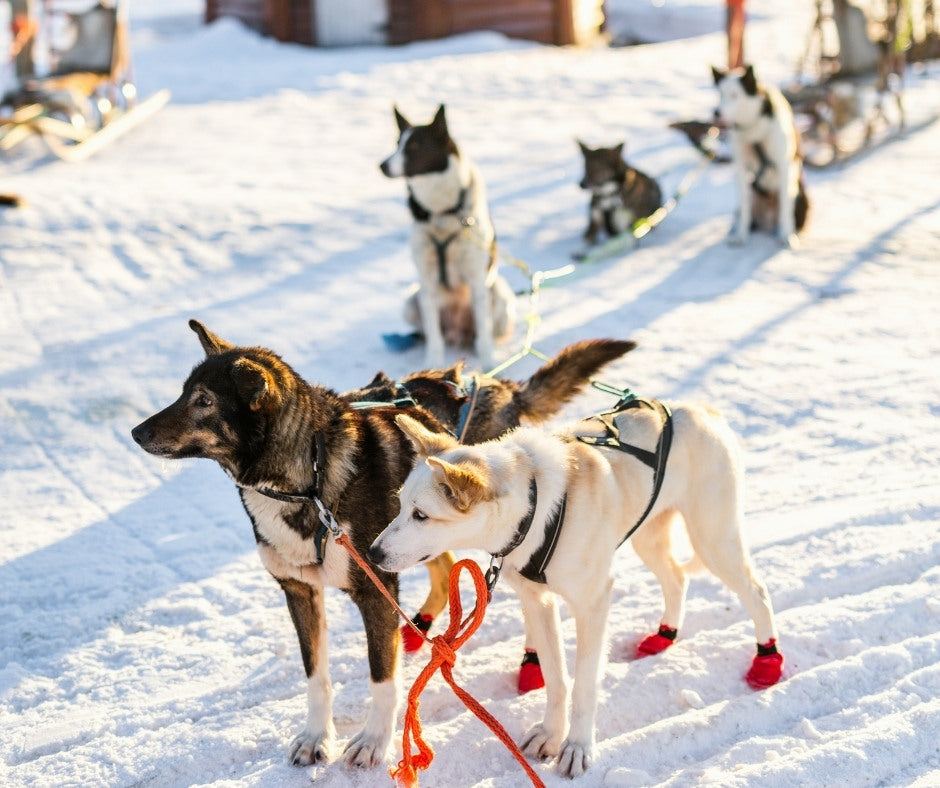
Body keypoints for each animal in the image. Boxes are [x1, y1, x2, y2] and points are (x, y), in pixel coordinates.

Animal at [130, 318, 632, 768]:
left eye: (204, 400)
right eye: (182, 392)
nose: (137, 432)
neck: (308, 479)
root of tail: (499, 385)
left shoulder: (374, 590)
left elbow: (381, 678)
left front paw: (374, 741)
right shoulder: (300, 591)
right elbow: (316, 675)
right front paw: (317, 737)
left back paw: (526, 657)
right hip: (416, 537)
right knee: (443, 568)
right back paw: (420, 626)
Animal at [370, 398, 784, 780]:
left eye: (421, 515)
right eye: (400, 505)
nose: (372, 553)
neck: (535, 505)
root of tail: (699, 409)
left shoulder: (592, 603)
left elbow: (584, 684)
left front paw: (577, 746)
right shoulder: (537, 601)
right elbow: (556, 679)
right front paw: (552, 735)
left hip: (713, 539)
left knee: (758, 592)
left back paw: (767, 660)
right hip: (648, 537)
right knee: (676, 579)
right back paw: (665, 634)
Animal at [380, 104, 516, 370]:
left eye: (414, 146)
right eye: (397, 143)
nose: (383, 165)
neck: (442, 212)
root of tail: (457, 331)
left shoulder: (477, 280)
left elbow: (484, 336)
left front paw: (489, 366)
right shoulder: (427, 280)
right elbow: (434, 337)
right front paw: (432, 364)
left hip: (499, 296)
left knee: (483, 332)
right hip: (412, 301)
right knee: (429, 332)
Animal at [712, 63, 808, 246]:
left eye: (734, 95)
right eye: (719, 94)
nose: (716, 112)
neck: (754, 130)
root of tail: (768, 221)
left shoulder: (784, 165)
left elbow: (785, 209)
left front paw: (786, 235)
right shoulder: (741, 168)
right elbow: (744, 208)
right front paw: (741, 235)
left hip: (799, 195)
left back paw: (784, 230)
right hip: (752, 192)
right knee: (745, 212)